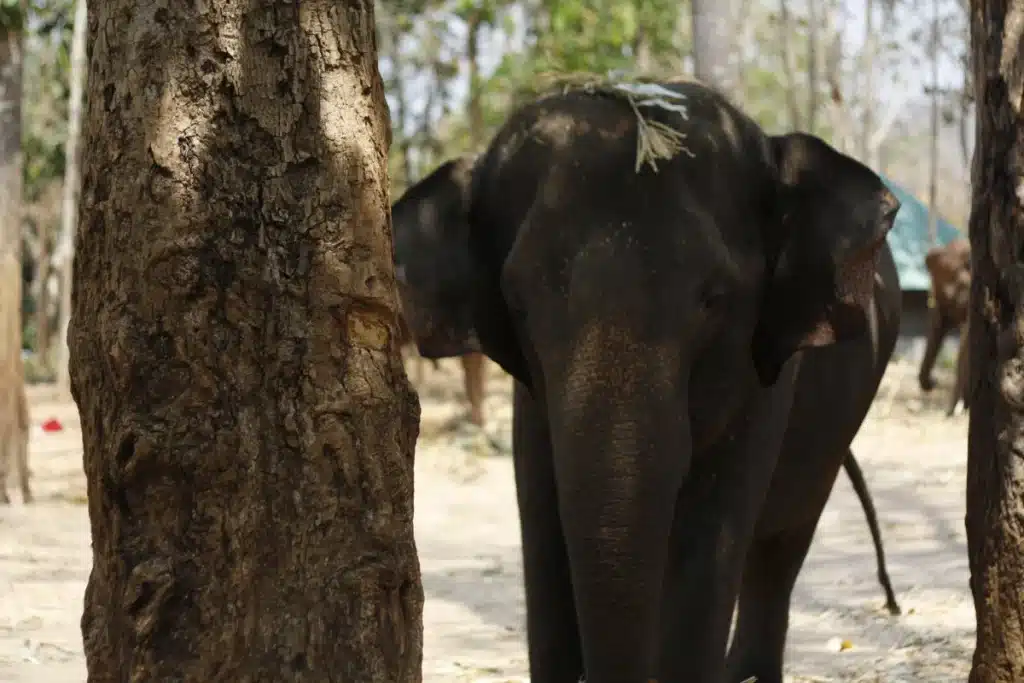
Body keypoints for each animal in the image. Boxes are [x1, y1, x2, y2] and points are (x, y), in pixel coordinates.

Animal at [391, 81, 897, 683]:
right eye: (518, 302)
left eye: (713, 298)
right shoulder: (530, 406)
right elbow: (545, 545)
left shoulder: (763, 386)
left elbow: (707, 553)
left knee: (781, 545)